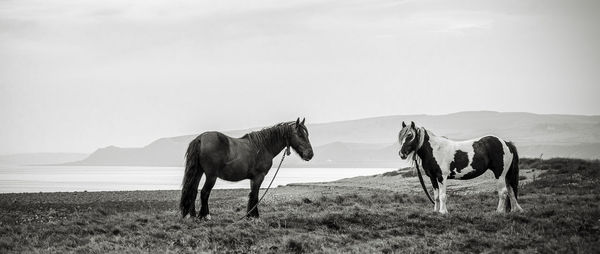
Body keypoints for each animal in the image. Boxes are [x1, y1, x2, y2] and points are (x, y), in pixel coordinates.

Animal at [179, 118, 314, 219]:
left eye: (306, 134)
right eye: (300, 134)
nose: (310, 154)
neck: (264, 146)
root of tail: (200, 138)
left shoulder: (253, 178)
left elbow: (251, 195)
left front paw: (250, 215)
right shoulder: (259, 176)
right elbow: (255, 195)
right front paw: (255, 216)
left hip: (199, 172)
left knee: (193, 191)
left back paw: (192, 215)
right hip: (211, 176)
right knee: (204, 192)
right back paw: (205, 216)